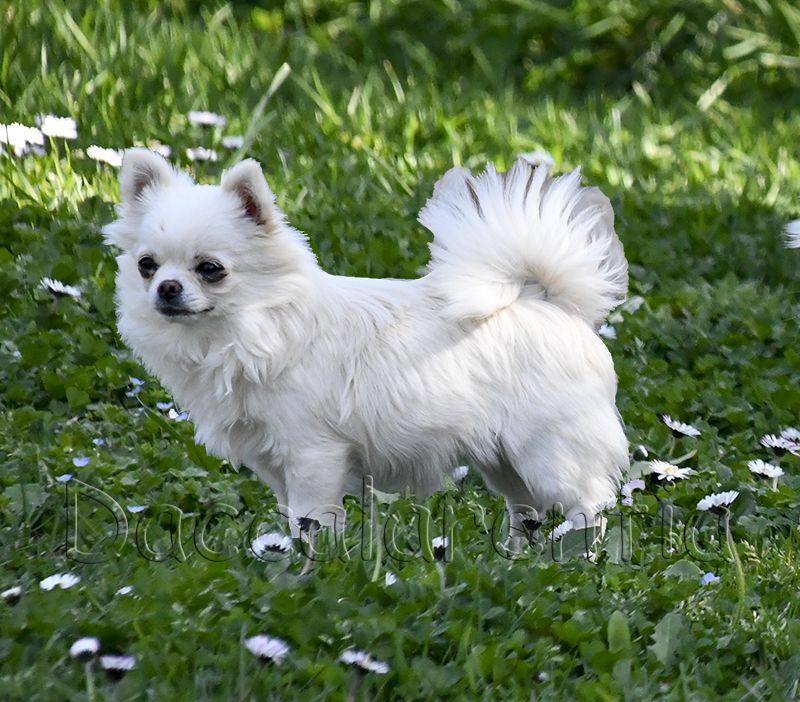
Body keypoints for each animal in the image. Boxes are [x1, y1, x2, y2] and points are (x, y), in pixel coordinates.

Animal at [104, 150, 632, 540]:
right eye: (147, 265)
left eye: (210, 269)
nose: (167, 289)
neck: (247, 330)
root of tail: (555, 304)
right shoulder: (272, 461)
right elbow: (291, 519)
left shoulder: (312, 455)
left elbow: (314, 521)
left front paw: (315, 570)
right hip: (503, 460)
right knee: (528, 514)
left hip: (550, 453)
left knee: (589, 507)